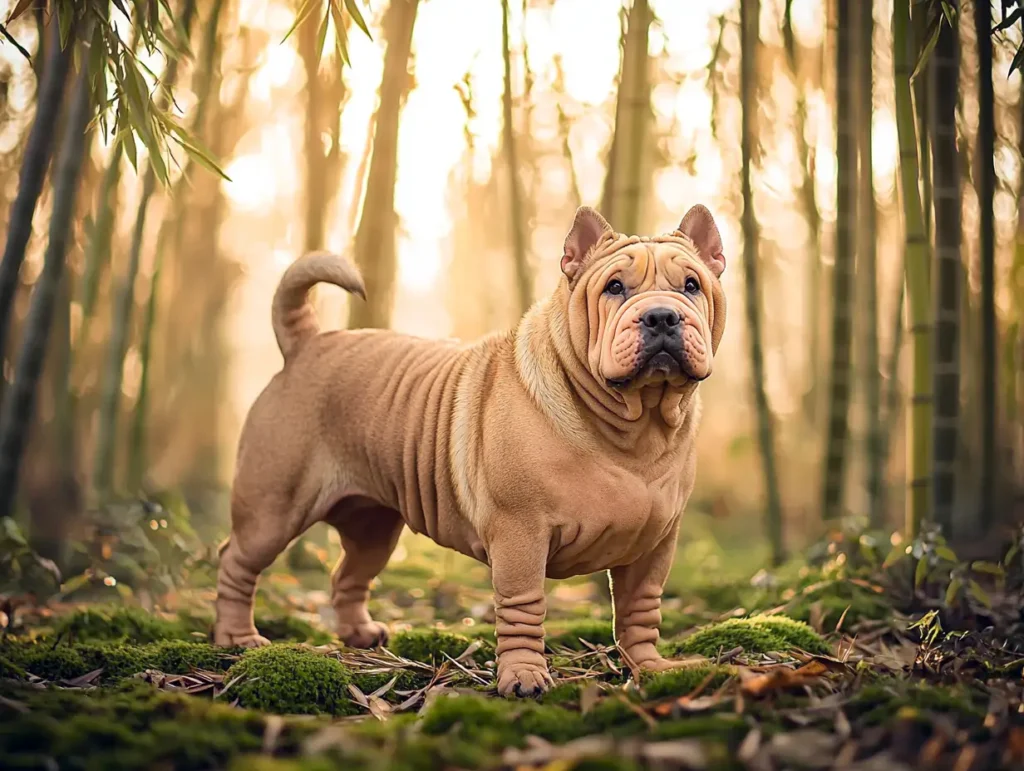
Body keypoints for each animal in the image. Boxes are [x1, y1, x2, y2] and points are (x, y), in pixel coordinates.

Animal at [214, 201, 729, 696]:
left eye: (691, 286)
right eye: (614, 287)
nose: (661, 315)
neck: (635, 427)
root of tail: (306, 345)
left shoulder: (655, 545)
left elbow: (641, 610)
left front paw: (650, 667)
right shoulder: (521, 534)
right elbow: (523, 607)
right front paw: (523, 675)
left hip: (372, 525)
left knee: (349, 574)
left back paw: (359, 634)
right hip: (272, 507)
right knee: (237, 561)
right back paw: (237, 638)